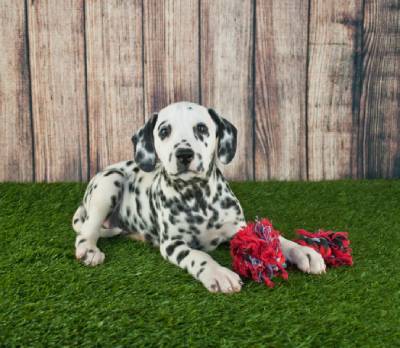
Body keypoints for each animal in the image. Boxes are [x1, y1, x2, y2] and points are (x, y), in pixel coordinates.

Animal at [73, 101, 326, 294]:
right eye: (164, 131)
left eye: (202, 128)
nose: (184, 154)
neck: (198, 198)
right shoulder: (173, 244)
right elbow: (197, 254)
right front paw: (219, 273)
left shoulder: (238, 228)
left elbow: (273, 238)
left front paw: (302, 251)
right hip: (108, 184)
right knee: (87, 231)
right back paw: (90, 251)